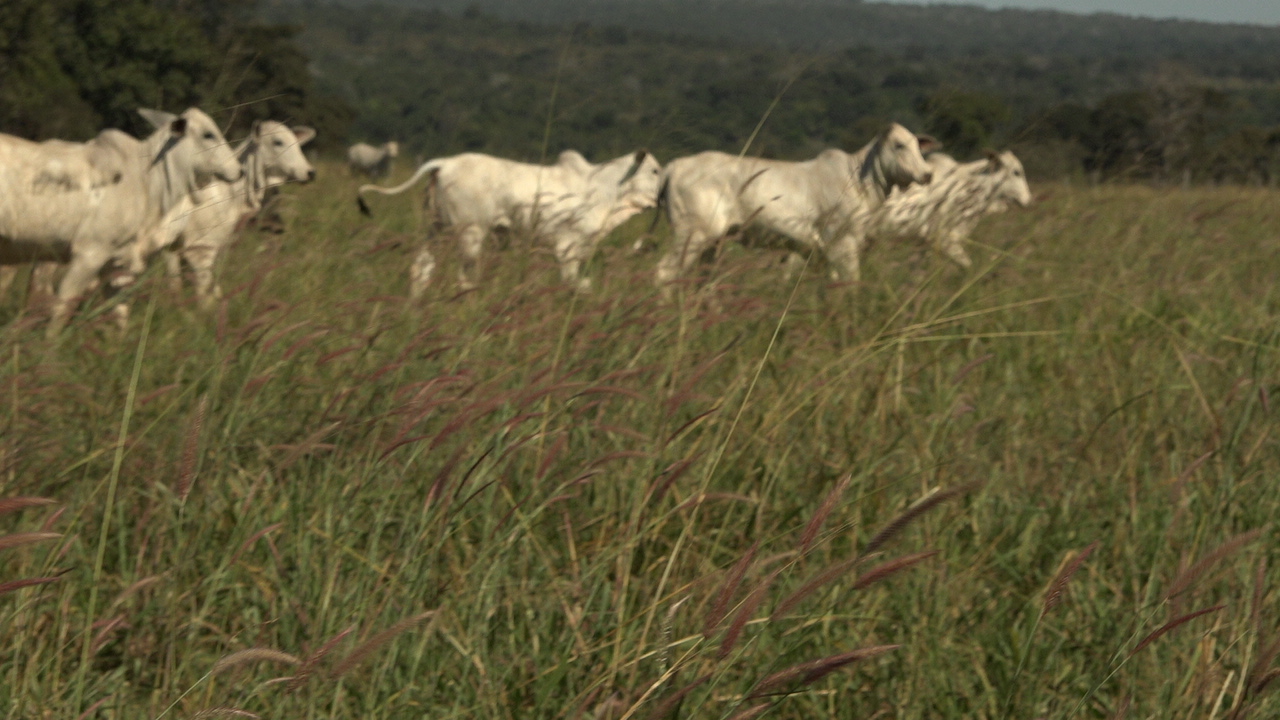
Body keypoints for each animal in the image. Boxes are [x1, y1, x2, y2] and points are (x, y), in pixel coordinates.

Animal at [0, 106, 240, 333]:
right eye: (209, 134)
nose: (239, 170)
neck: (147, 181)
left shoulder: (116, 263)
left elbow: (118, 312)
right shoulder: (89, 254)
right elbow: (62, 308)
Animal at [358, 148, 665, 294]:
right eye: (654, 170)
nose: (662, 196)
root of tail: (445, 163)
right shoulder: (566, 246)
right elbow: (576, 282)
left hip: (433, 229)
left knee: (421, 267)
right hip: (470, 233)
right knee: (463, 278)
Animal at [655, 122, 936, 288]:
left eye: (917, 146)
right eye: (899, 145)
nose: (927, 174)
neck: (859, 179)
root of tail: (676, 164)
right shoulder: (841, 243)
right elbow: (849, 282)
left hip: (712, 242)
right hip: (691, 235)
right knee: (664, 273)